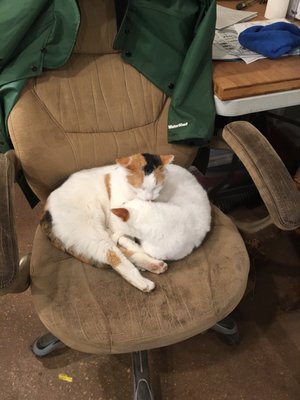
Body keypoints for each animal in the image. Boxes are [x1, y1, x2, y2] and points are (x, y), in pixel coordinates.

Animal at [40, 152, 211, 290]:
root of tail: (46, 210)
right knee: (114, 256)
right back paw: (144, 281)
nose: (149, 198)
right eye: (141, 187)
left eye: (156, 187)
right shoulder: (117, 219)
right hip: (92, 232)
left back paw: (153, 265)